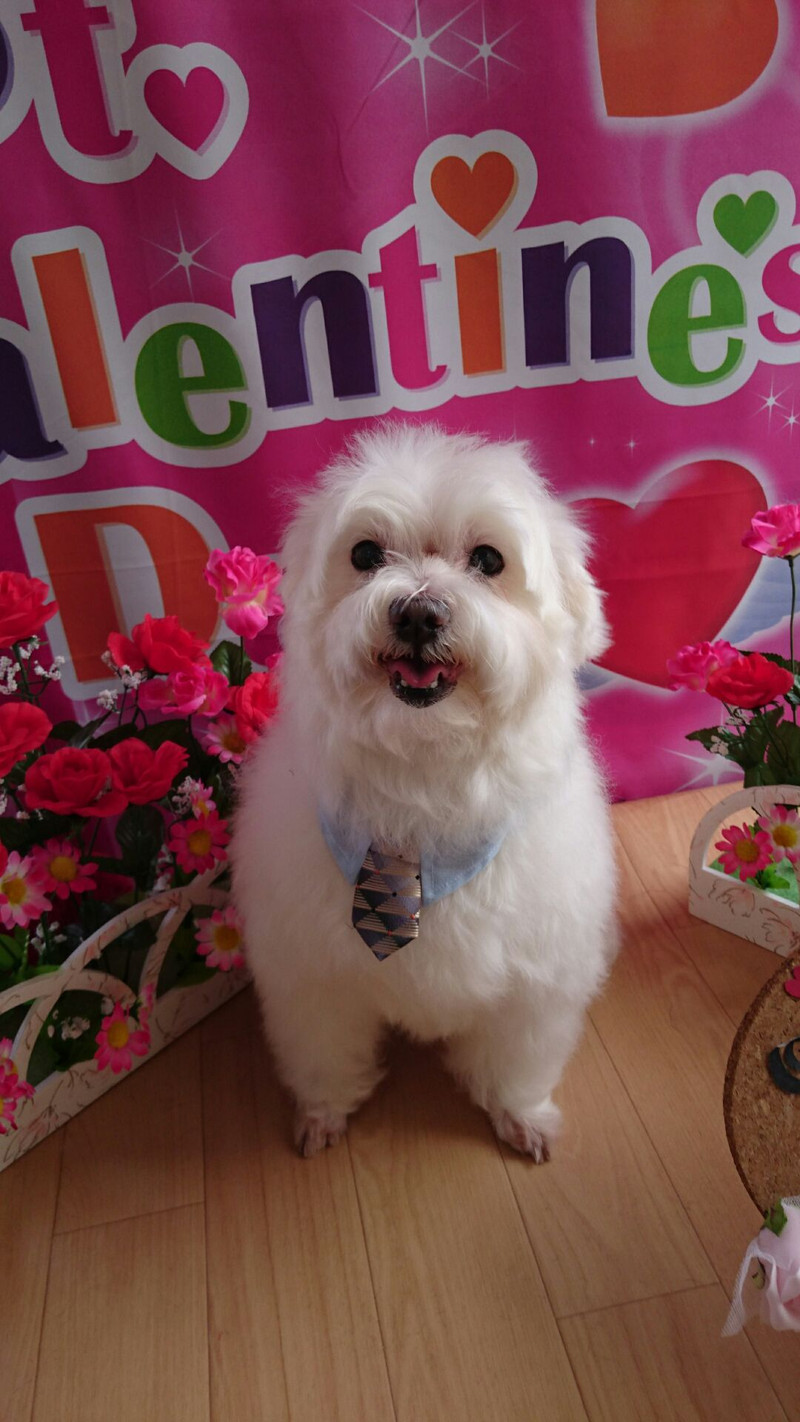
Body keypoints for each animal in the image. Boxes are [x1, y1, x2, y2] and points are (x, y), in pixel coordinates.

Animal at [231, 424, 617, 1160]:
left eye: (489, 560)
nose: (417, 613)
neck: (421, 785)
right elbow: (323, 1053)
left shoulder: (536, 981)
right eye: (364, 553)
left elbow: (517, 1058)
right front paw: (323, 1112)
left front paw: (520, 1114)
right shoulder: (310, 978)